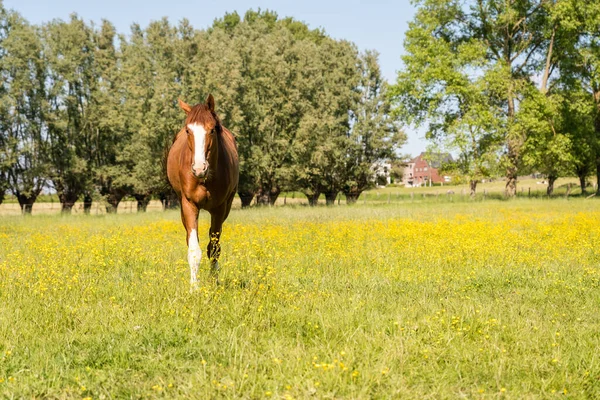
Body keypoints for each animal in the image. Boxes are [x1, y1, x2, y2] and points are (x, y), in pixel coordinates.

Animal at [166, 94, 239, 288]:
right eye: (188, 131)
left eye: (212, 130)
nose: (199, 168)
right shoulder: (189, 204)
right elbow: (194, 250)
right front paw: (194, 287)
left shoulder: (220, 209)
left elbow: (213, 249)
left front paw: (214, 282)